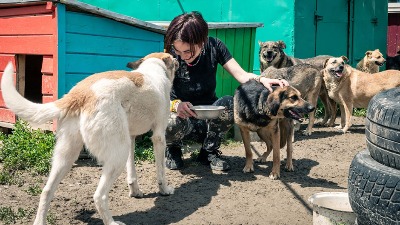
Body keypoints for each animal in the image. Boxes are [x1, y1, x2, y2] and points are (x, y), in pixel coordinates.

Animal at [0, 51, 178, 224]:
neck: (154, 68)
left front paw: (136, 192)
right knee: (99, 196)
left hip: (67, 157)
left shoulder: (132, 137)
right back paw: (111, 222)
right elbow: (161, 171)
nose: (178, 60)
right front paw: (165, 190)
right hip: (118, 155)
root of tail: (79, 94)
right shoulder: (158, 137)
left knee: (46, 191)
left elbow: (132, 173)